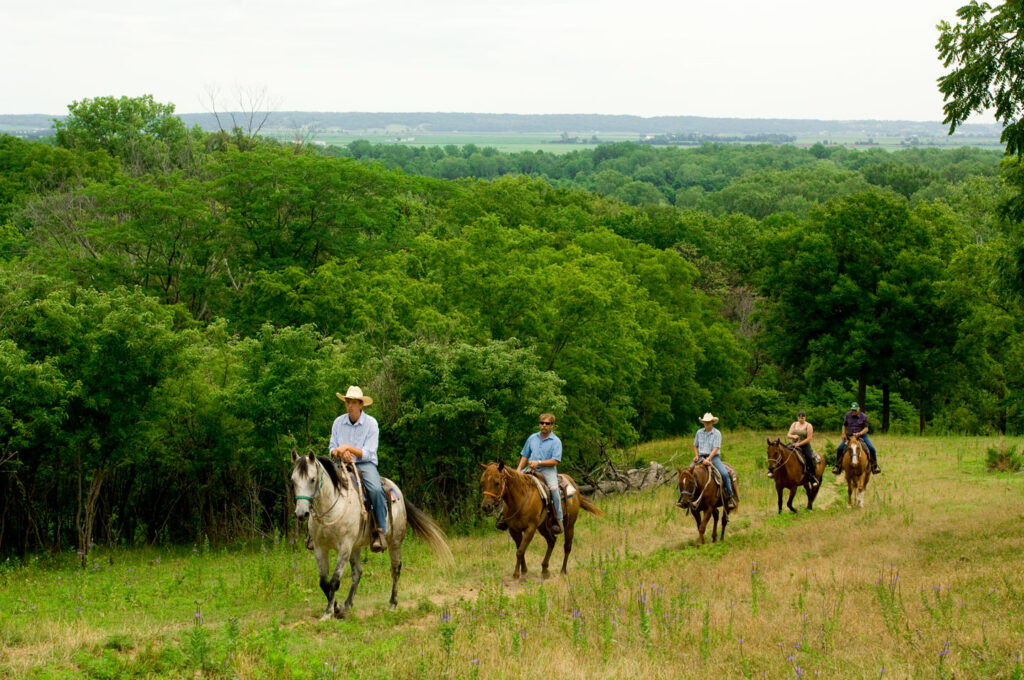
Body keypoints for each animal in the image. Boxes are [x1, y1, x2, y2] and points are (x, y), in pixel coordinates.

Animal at [288, 450, 448, 622]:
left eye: (312, 479)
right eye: (293, 480)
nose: (301, 513)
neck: (331, 508)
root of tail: (395, 487)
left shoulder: (345, 547)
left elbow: (334, 581)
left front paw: (329, 612)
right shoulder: (320, 548)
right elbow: (324, 583)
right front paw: (337, 608)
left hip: (395, 542)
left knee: (395, 570)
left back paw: (392, 603)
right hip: (356, 547)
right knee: (357, 573)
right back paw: (347, 606)